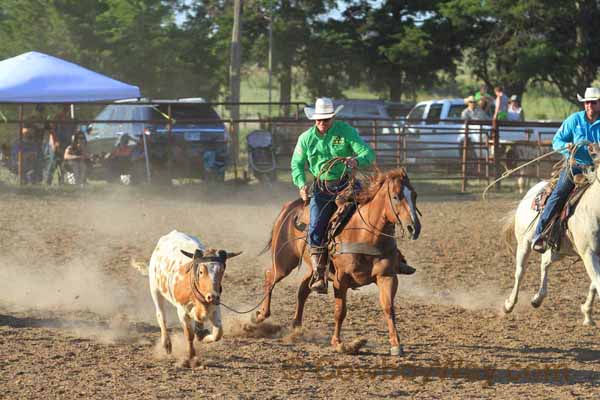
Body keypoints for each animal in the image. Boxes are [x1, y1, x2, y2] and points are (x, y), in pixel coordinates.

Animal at [253, 167, 422, 354]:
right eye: (396, 197)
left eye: (415, 195)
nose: (414, 228)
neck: (365, 234)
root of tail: (290, 207)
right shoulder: (341, 279)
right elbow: (340, 311)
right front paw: (338, 342)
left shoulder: (387, 276)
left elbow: (388, 307)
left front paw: (396, 344)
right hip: (284, 261)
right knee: (270, 276)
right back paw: (260, 315)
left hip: (315, 270)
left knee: (303, 289)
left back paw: (296, 327)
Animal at [502, 159, 600, 324]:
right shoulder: (589, 253)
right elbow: (597, 283)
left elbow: (594, 283)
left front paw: (587, 313)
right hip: (524, 243)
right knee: (520, 272)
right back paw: (509, 304)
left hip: (559, 249)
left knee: (544, 263)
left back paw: (537, 299)